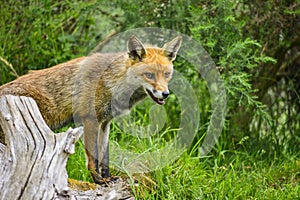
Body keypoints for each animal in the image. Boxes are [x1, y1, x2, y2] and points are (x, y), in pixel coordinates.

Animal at [0, 35, 182, 184]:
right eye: (149, 75)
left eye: (166, 75)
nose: (165, 94)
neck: (112, 83)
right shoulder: (90, 120)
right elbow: (93, 157)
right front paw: (98, 180)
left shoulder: (105, 122)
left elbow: (104, 156)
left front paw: (107, 177)